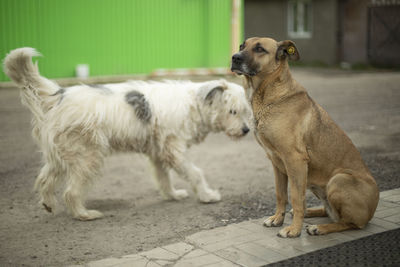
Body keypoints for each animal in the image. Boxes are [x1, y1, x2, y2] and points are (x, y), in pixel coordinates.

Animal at [3, 48, 252, 222]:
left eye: (246, 112)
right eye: (233, 111)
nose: (246, 130)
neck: (194, 103)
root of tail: (58, 95)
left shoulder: (159, 152)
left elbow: (164, 177)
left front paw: (172, 195)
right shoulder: (174, 151)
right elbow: (196, 173)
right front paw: (207, 196)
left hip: (61, 154)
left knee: (44, 179)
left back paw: (48, 204)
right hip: (88, 156)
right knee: (71, 192)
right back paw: (84, 214)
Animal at [231, 36, 378, 239]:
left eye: (259, 49)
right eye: (242, 45)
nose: (234, 57)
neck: (270, 93)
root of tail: (372, 210)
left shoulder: (295, 160)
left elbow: (295, 197)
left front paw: (294, 230)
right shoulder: (276, 162)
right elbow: (281, 195)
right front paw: (277, 219)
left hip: (338, 180)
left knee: (349, 222)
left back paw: (319, 228)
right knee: (329, 212)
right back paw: (310, 214)